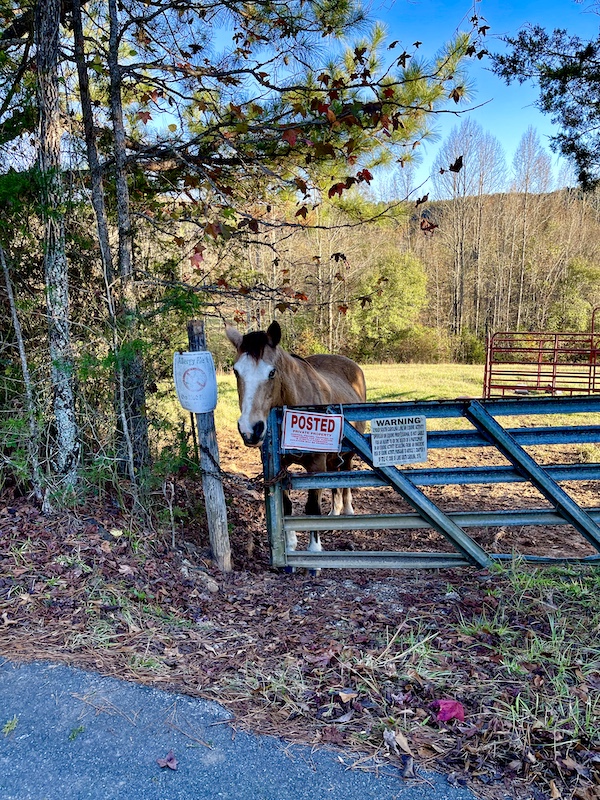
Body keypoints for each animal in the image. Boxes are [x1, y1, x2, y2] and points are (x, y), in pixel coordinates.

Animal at [225, 320, 366, 553]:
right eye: (236, 372)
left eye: (272, 372)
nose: (250, 429)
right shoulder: (278, 467)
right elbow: (287, 506)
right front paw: (290, 545)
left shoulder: (316, 466)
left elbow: (312, 508)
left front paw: (314, 550)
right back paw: (335, 514)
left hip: (347, 453)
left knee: (345, 473)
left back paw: (347, 510)